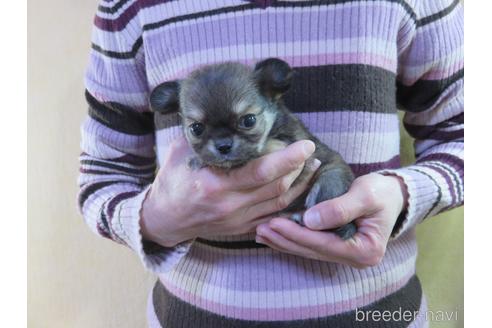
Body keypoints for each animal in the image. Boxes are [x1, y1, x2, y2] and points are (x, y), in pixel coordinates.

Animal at [148, 58, 356, 238]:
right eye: (196, 128)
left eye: (248, 120)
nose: (223, 146)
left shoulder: (291, 147)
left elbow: (259, 150)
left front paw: (199, 160)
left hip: (327, 185)